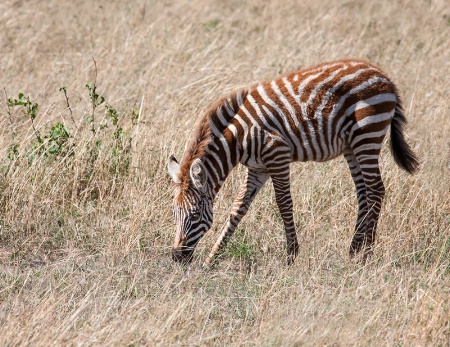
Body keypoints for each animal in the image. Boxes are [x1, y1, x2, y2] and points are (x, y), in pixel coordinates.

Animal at [166, 59, 418, 266]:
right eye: (174, 214)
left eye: (195, 215)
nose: (177, 256)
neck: (237, 138)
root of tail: (383, 75)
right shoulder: (257, 168)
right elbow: (238, 209)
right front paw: (212, 258)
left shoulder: (277, 155)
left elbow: (284, 204)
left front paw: (291, 255)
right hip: (352, 146)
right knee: (363, 192)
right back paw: (354, 250)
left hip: (367, 136)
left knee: (376, 190)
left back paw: (366, 255)